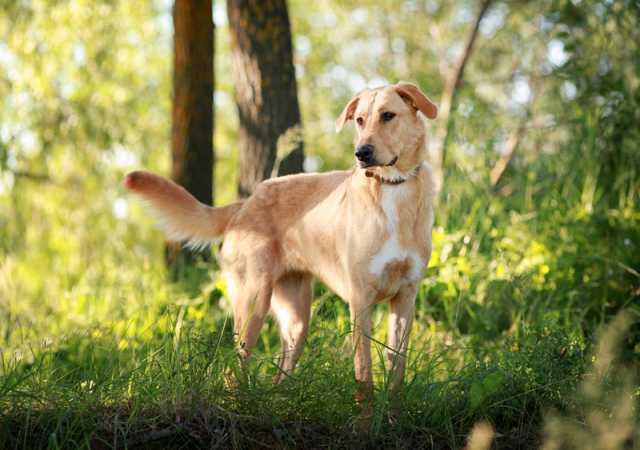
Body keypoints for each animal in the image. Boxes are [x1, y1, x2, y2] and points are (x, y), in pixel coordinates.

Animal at [123, 82, 438, 406]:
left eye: (388, 115)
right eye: (360, 121)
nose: (361, 153)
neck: (393, 189)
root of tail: (244, 205)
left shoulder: (405, 297)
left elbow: (397, 368)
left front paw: (392, 413)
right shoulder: (360, 298)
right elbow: (364, 371)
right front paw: (366, 416)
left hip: (296, 318)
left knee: (279, 373)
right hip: (253, 300)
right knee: (233, 366)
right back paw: (241, 404)